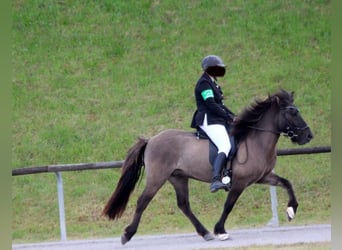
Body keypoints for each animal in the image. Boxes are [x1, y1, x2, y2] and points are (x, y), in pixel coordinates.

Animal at [101, 90, 312, 244]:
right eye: (293, 112)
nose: (308, 136)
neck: (255, 141)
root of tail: (151, 139)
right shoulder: (240, 182)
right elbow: (229, 205)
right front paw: (220, 230)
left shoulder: (263, 177)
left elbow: (287, 183)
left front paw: (291, 210)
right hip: (157, 178)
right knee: (143, 201)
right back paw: (127, 234)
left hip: (178, 177)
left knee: (183, 205)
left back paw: (205, 233)